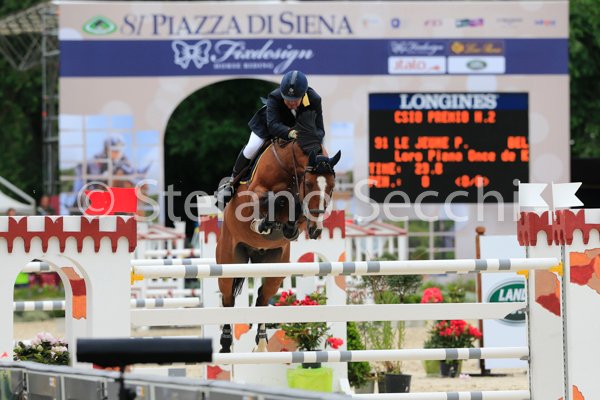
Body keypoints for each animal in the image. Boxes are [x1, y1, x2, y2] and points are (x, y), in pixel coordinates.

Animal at [215, 112, 341, 353]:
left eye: (331, 187)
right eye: (309, 183)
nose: (316, 230)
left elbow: (293, 209)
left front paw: (285, 224)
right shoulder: (254, 194)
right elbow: (273, 198)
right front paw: (262, 223)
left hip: (275, 265)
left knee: (262, 298)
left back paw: (262, 341)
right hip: (229, 261)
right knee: (227, 299)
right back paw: (226, 344)